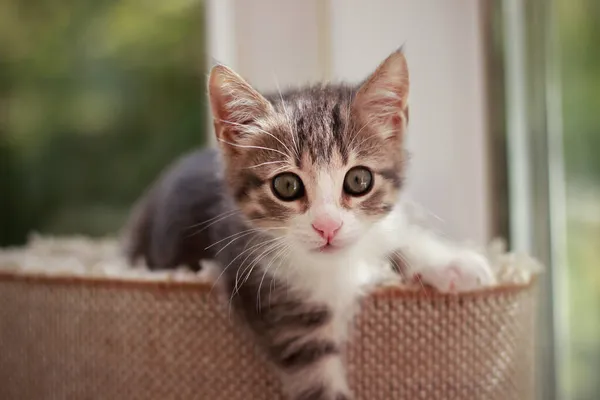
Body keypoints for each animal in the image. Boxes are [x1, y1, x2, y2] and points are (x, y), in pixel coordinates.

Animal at [122, 50, 492, 400]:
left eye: (359, 180)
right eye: (286, 186)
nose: (327, 227)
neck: (336, 268)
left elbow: (394, 234)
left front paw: (451, 263)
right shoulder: (276, 303)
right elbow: (315, 377)